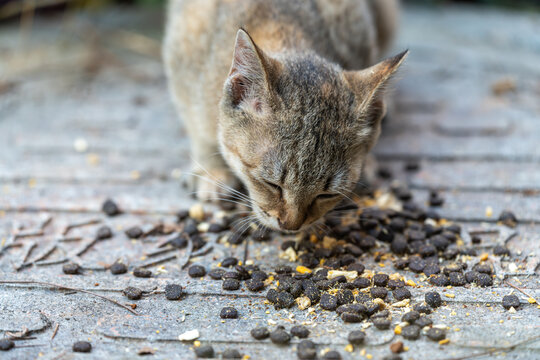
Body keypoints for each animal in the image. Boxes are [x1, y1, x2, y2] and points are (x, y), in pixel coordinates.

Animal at [162, 0, 408, 231]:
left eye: (326, 194)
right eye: (271, 184)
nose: (291, 225)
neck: (284, 28)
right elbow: (200, 129)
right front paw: (213, 170)